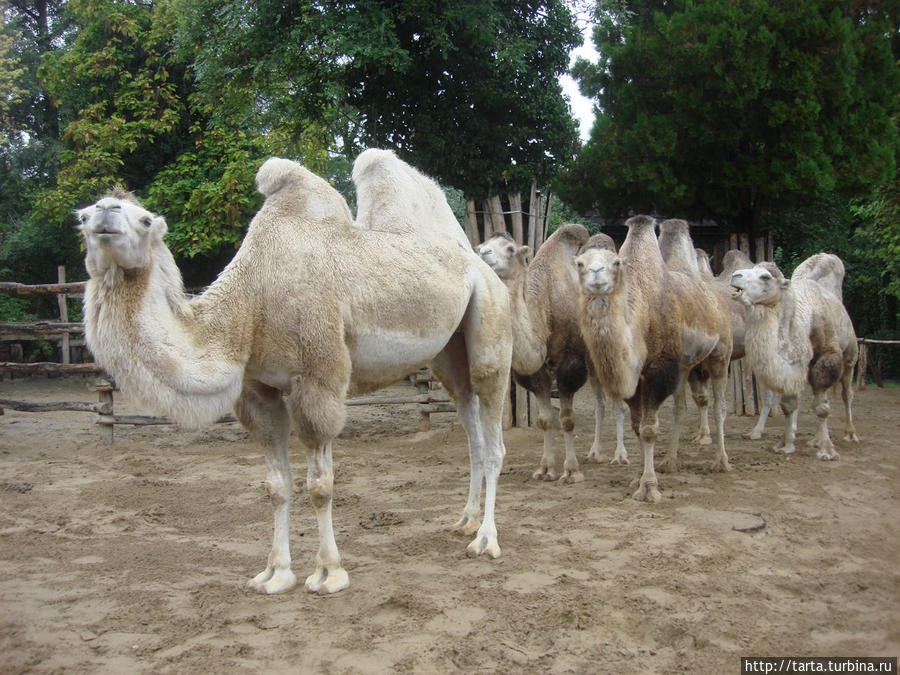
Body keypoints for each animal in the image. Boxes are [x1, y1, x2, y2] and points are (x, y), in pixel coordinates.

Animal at [77, 149, 512, 596]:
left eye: (145, 219)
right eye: (84, 215)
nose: (105, 212)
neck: (250, 305)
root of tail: (476, 260)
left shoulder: (318, 378)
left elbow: (319, 486)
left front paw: (328, 573)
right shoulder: (257, 391)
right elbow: (276, 486)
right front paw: (274, 573)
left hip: (491, 320)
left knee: (493, 432)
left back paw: (486, 540)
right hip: (447, 354)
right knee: (470, 424)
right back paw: (466, 521)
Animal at [478, 227, 624, 480]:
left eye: (510, 249)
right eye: (482, 245)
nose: (483, 252)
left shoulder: (570, 364)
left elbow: (566, 419)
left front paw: (572, 470)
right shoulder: (538, 372)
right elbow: (545, 419)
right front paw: (546, 468)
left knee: (617, 399)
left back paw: (620, 455)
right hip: (593, 361)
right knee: (600, 402)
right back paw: (595, 453)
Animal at [576, 217, 732, 502]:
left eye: (616, 263)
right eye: (580, 263)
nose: (596, 273)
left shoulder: (658, 369)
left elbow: (648, 429)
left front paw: (649, 487)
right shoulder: (638, 378)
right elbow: (637, 426)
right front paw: (638, 477)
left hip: (720, 354)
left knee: (720, 406)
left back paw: (721, 461)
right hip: (685, 366)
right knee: (681, 407)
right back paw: (670, 461)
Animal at [732, 260, 856, 460]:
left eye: (765, 277)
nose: (735, 275)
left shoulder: (827, 356)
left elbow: (821, 407)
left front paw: (827, 450)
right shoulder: (791, 364)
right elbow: (789, 405)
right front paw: (786, 444)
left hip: (849, 355)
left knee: (846, 393)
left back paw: (850, 434)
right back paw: (814, 439)